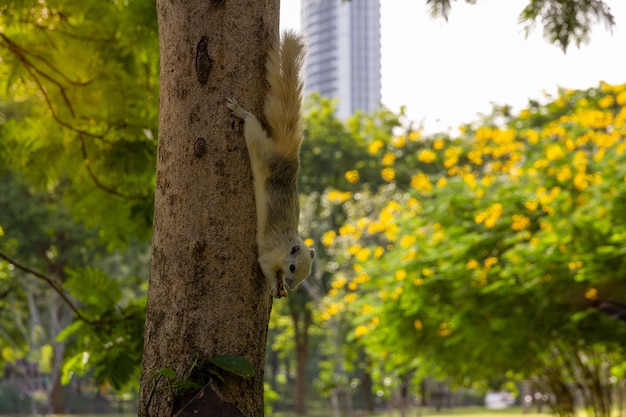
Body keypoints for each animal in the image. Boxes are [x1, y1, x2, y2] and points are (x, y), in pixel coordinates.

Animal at [225, 30, 314, 298]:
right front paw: (275, 287)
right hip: (261, 150)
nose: (291, 287)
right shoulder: (268, 256)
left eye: (306, 275)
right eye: (293, 267)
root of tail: (288, 151)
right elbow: (265, 267)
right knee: (253, 128)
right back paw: (241, 112)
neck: (286, 247)